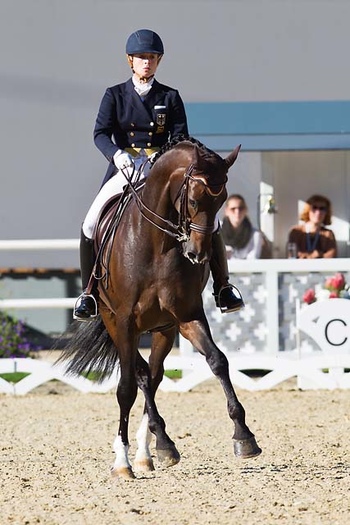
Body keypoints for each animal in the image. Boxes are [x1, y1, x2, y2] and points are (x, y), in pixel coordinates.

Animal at [58, 136, 260, 478]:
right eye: (193, 201)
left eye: (221, 201)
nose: (198, 255)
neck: (157, 244)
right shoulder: (124, 321)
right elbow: (126, 387)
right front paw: (122, 462)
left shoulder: (187, 316)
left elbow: (218, 361)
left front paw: (244, 436)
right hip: (115, 323)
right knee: (138, 378)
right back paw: (136, 453)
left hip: (163, 329)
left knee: (151, 376)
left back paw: (152, 449)